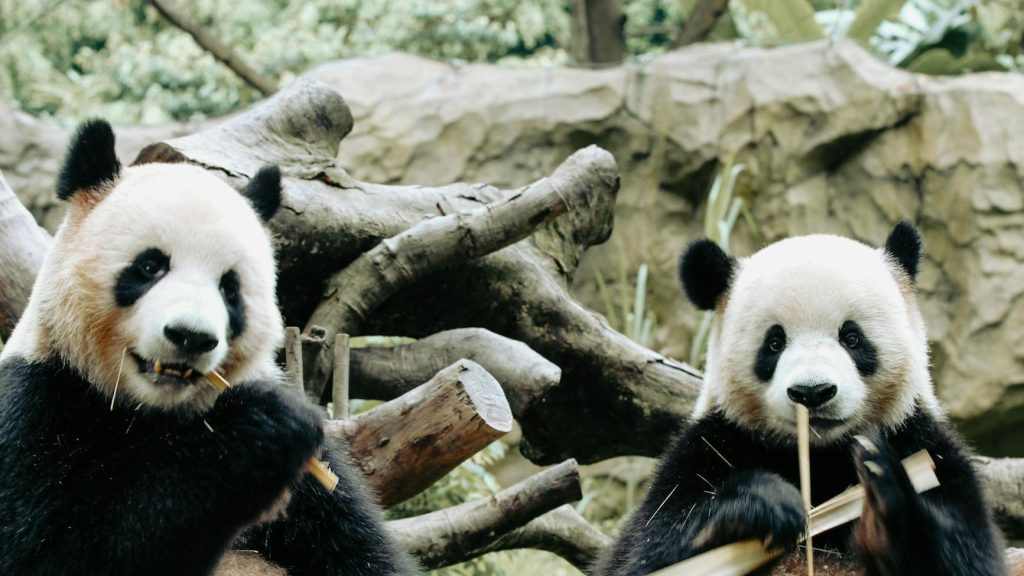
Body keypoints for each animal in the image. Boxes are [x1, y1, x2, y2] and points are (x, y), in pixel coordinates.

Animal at [0, 120, 416, 576]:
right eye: (150, 266)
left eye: (230, 288)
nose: (191, 336)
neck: (152, 412)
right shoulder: (38, 406)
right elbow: (56, 552)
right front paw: (262, 433)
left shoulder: (314, 492)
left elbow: (357, 547)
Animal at [595, 223, 1007, 576]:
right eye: (774, 342)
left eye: (851, 337)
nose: (812, 392)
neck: (819, 457)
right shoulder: (708, 447)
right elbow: (642, 551)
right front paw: (764, 503)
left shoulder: (922, 444)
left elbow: (970, 555)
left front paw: (883, 503)